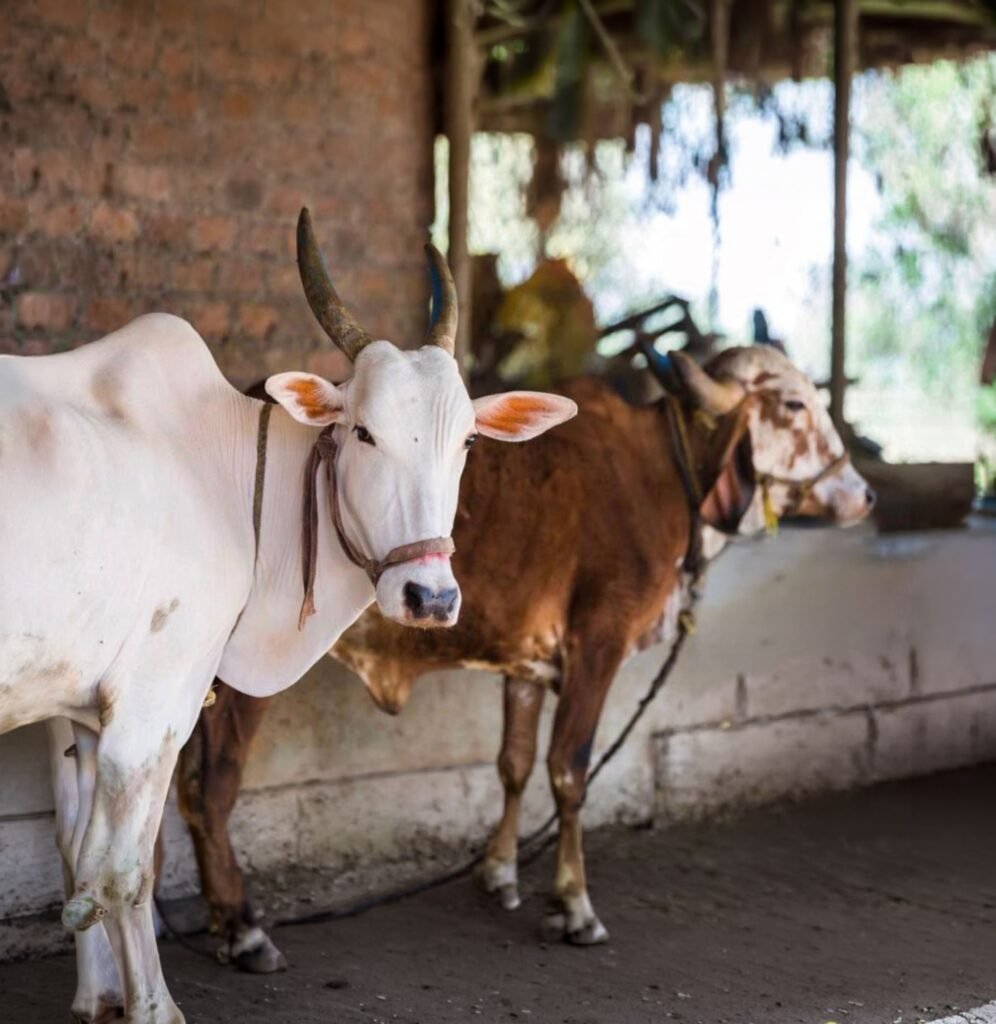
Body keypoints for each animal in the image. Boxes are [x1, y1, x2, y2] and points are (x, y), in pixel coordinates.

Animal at [6, 209, 576, 1024]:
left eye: (468, 439)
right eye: (363, 432)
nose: (431, 597)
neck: (230, 476)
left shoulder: (80, 707)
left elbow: (75, 853)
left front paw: (96, 997)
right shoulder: (154, 706)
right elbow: (123, 873)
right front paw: (154, 1006)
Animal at [170, 343, 874, 970]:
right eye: (792, 403)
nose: (865, 494)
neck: (659, 472)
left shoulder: (527, 662)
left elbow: (515, 762)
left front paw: (500, 873)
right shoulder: (598, 642)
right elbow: (569, 769)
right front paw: (574, 905)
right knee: (212, 787)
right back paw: (244, 928)